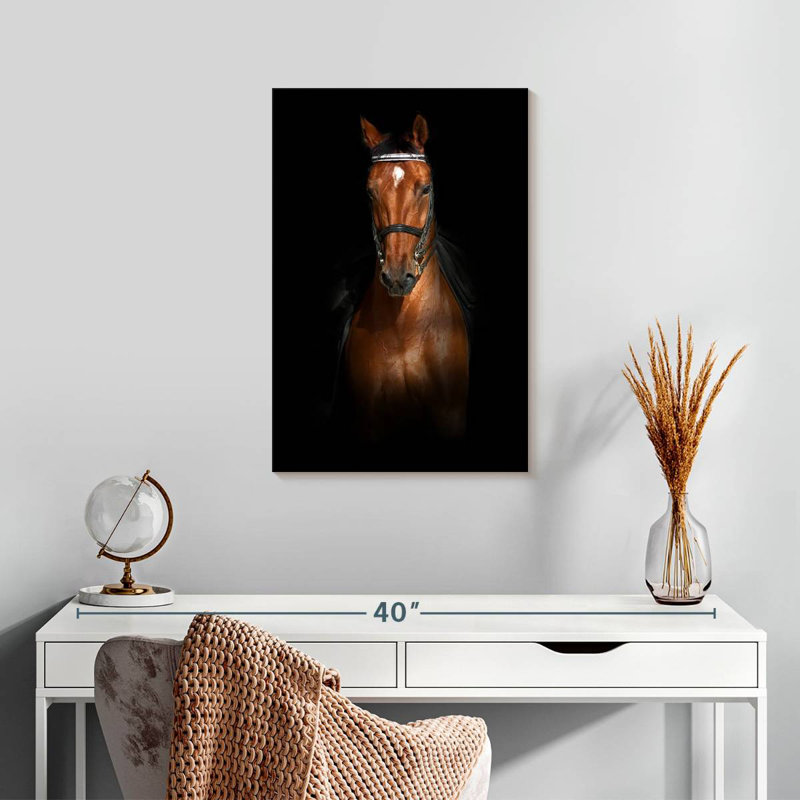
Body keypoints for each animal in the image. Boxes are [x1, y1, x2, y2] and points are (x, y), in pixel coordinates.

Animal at [343, 114, 470, 444]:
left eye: (425, 189)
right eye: (370, 191)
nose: (398, 276)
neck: (406, 331)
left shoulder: (450, 417)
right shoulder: (370, 422)